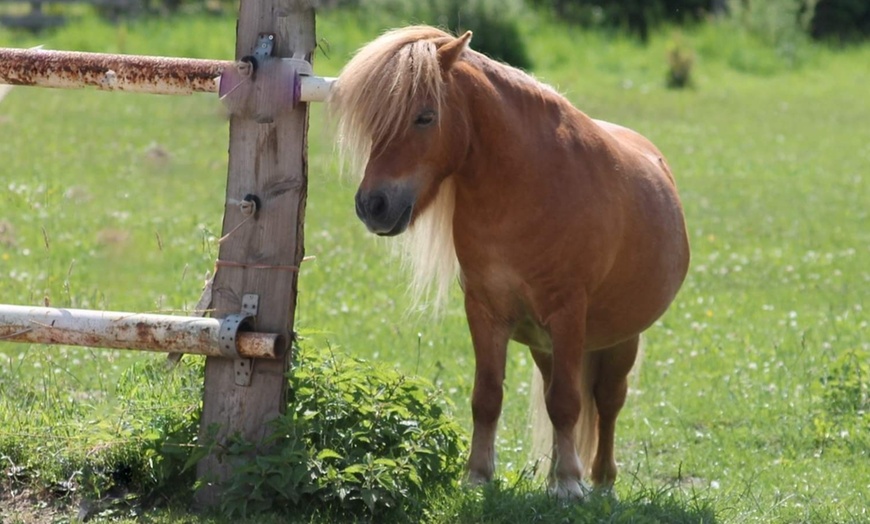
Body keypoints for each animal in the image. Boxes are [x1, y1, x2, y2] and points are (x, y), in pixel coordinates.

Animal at [330, 25, 692, 500]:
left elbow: (568, 403)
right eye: (375, 120)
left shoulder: (567, 313)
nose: (372, 206)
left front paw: (569, 485)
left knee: (607, 402)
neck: (525, 187)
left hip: (619, 339)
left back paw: (600, 482)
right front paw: (479, 476)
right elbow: (489, 397)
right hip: (546, 344)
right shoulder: (487, 312)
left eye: (425, 117)